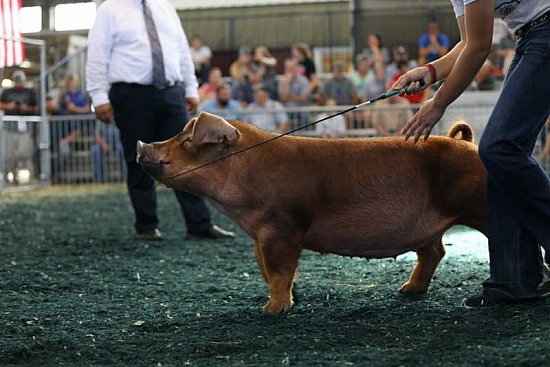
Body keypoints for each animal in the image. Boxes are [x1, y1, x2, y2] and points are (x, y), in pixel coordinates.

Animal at [137, 110, 488, 314]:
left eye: (187, 140)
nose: (142, 144)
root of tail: (468, 145)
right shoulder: (260, 232)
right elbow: (266, 269)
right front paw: (290, 299)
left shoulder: (282, 226)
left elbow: (279, 269)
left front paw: (272, 311)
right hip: (427, 225)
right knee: (434, 251)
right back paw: (408, 290)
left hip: (476, 205)